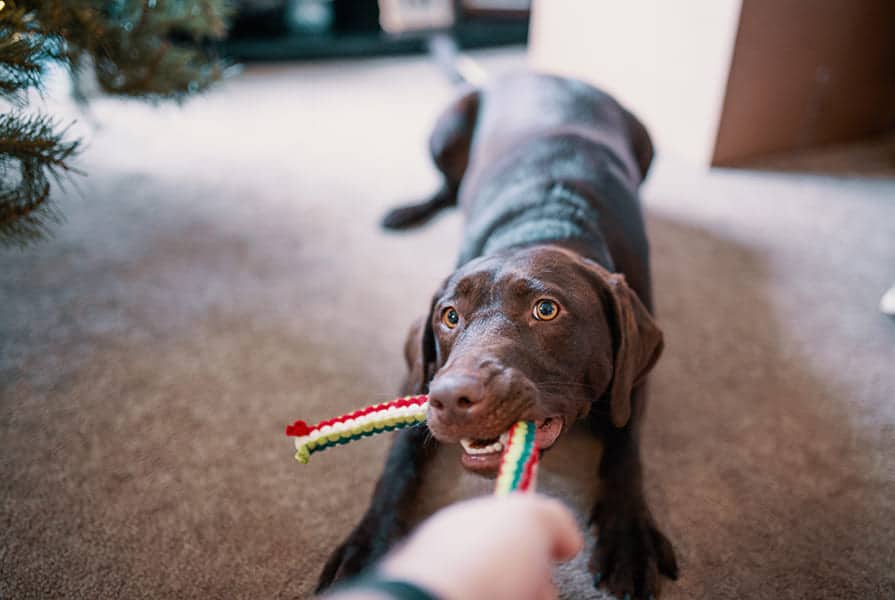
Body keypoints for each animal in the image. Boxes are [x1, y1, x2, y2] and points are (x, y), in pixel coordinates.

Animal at [318, 72, 676, 596]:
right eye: (449, 316)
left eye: (546, 310)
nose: (452, 398)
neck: (545, 222)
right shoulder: (421, 375)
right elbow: (398, 460)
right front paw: (368, 543)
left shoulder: (633, 378)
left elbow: (625, 446)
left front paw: (628, 535)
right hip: (446, 128)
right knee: (448, 189)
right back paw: (408, 211)